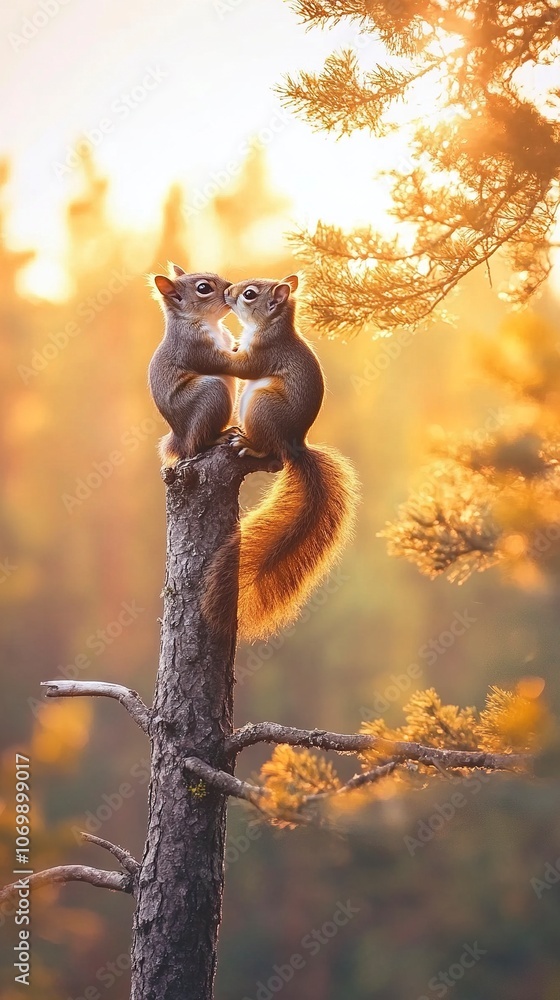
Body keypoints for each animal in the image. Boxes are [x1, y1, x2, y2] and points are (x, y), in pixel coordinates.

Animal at [148, 264, 236, 465]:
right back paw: (220, 436)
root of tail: (180, 439)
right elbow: (226, 362)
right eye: (203, 288)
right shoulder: (194, 346)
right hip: (210, 393)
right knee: (197, 445)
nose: (230, 287)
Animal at [196, 274, 360, 642]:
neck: (271, 327)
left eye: (249, 294)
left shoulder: (263, 354)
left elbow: (239, 365)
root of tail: (295, 444)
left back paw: (248, 444)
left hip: (260, 405)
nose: (229, 292)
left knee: (268, 448)